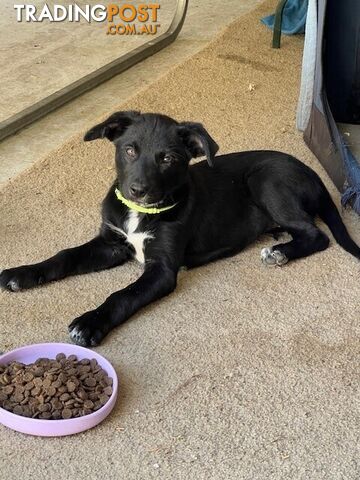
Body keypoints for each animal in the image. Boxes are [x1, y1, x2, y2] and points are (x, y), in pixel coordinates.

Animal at [0, 112, 360, 344]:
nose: (138, 190)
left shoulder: (161, 269)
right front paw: (22, 273)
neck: (141, 213)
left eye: (168, 159)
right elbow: (65, 256)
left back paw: (279, 252)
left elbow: (122, 295)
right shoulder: (111, 243)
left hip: (266, 180)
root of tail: (313, 173)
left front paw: (91, 322)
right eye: (129, 150)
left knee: (317, 235)